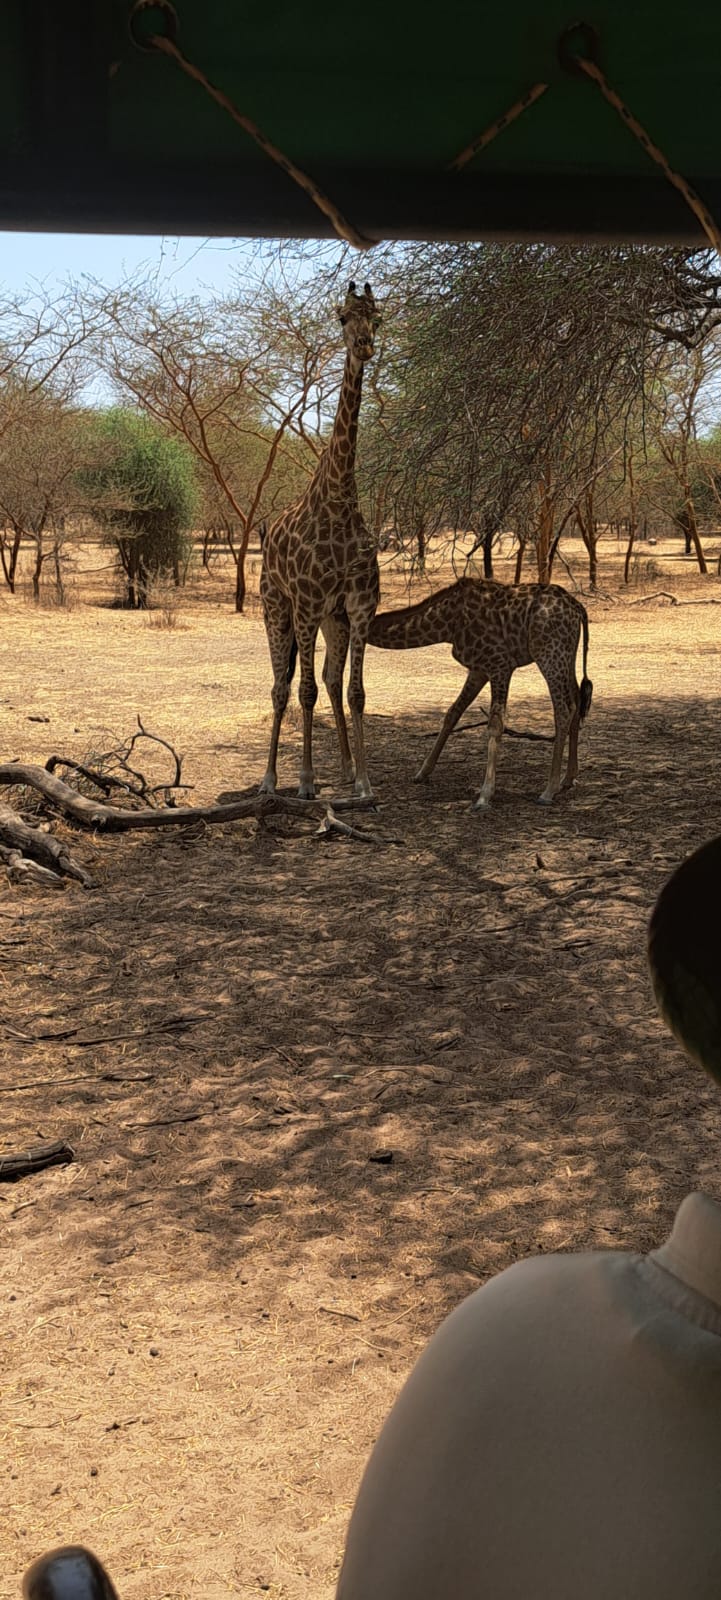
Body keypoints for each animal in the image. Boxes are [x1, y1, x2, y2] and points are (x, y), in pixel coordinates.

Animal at [369, 579, 594, 806]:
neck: (449, 624)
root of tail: (578, 608)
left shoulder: (500, 665)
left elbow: (495, 724)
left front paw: (485, 795)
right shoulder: (478, 670)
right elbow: (452, 714)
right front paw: (422, 773)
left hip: (549, 654)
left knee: (564, 708)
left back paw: (548, 791)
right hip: (566, 654)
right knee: (577, 699)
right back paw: (568, 778)